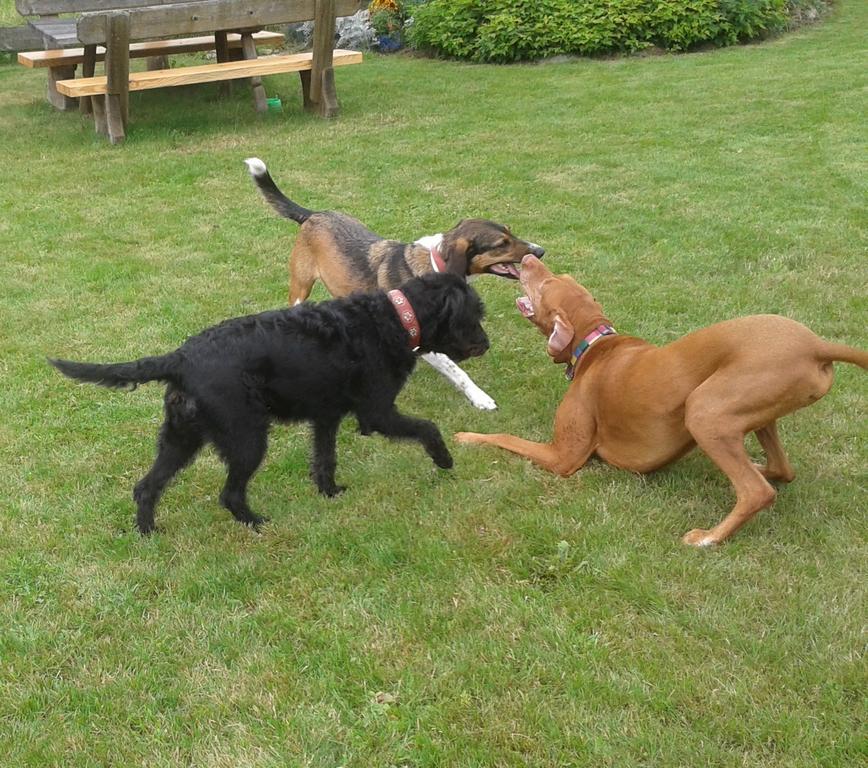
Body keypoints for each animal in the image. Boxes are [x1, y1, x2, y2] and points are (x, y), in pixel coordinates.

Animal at [50, 274, 488, 536]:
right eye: (474, 314)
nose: (485, 344)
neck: (393, 318)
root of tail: (181, 358)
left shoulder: (327, 417)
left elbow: (325, 459)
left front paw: (329, 492)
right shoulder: (377, 413)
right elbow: (427, 427)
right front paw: (444, 460)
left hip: (180, 439)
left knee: (146, 487)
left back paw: (148, 533)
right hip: (247, 439)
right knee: (229, 494)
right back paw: (255, 523)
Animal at [458, 256, 864, 544]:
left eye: (545, 285)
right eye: (561, 277)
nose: (528, 258)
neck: (596, 343)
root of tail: (816, 345)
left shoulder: (563, 457)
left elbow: (505, 437)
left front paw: (467, 437)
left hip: (704, 411)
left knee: (756, 492)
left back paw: (708, 538)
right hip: (755, 413)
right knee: (781, 470)